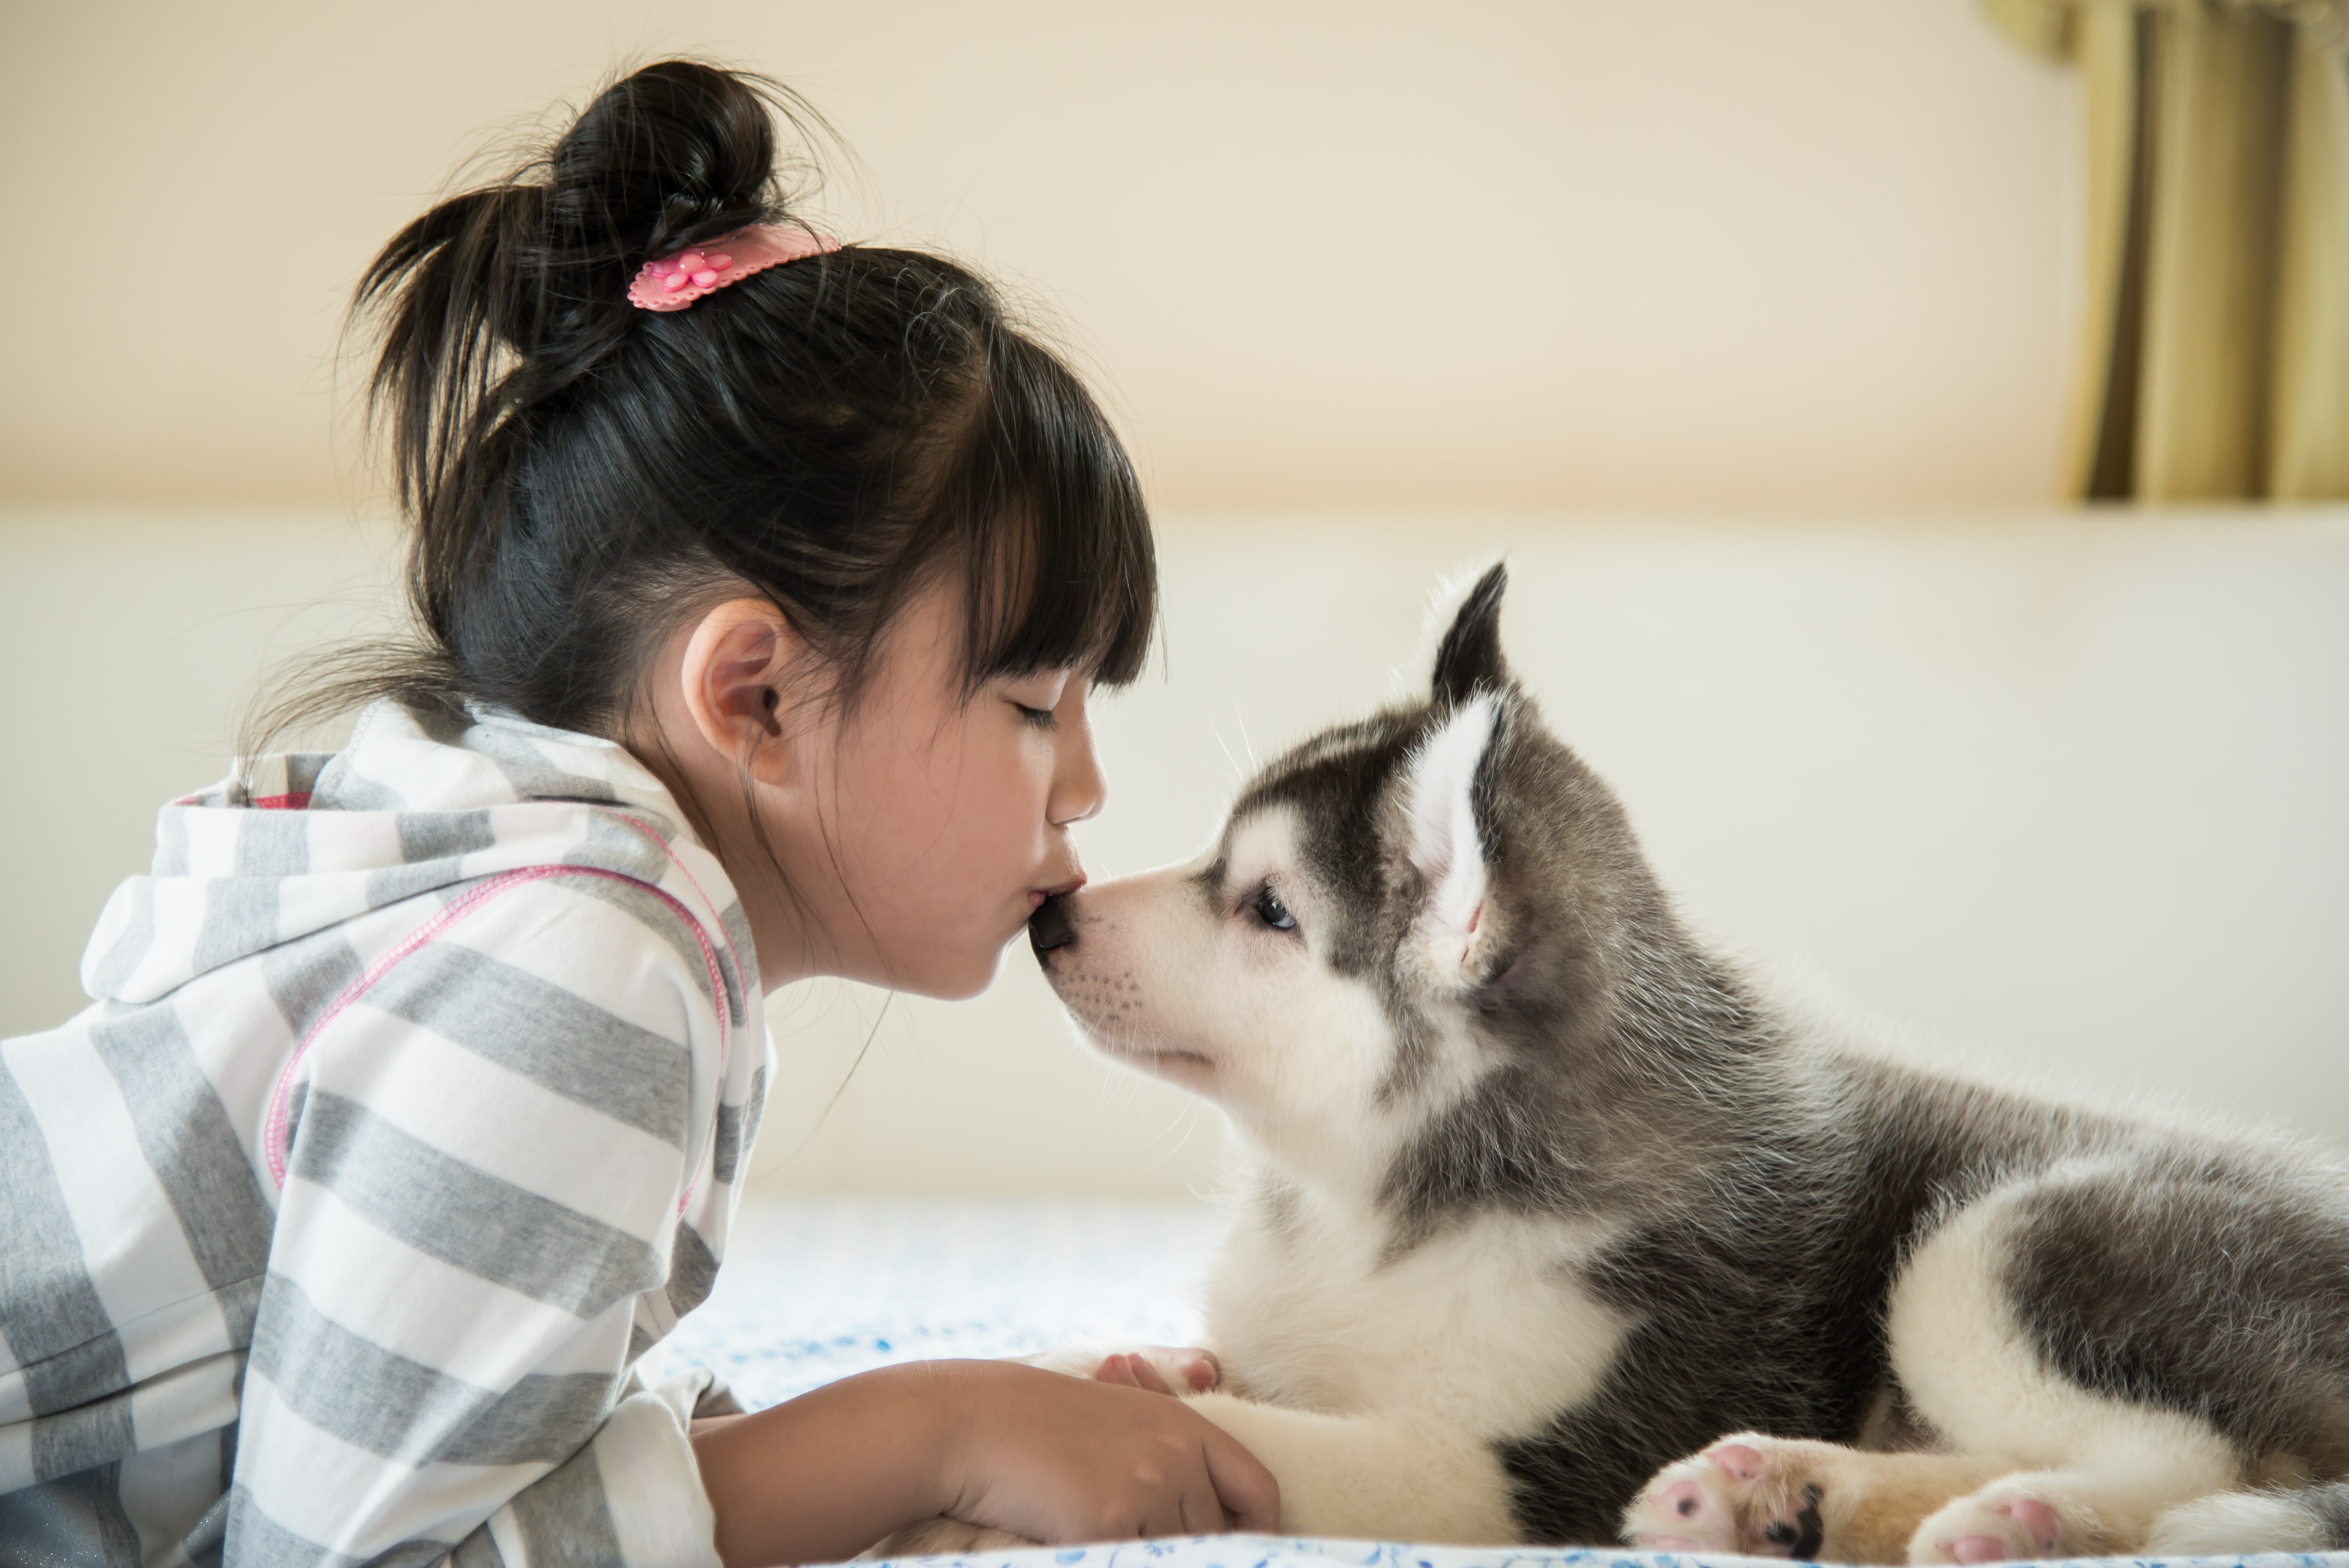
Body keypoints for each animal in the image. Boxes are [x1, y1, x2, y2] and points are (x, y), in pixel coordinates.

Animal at [1024, 570, 2349, 1558]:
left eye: (1269, 911)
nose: (1050, 919)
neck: (1367, 1202)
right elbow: (1179, 1368)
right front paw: (1116, 1364)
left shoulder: (1528, 1469)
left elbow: (1274, 1442)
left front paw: (1126, 1423)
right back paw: (1783, 1497)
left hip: (2001, 1243)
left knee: (2188, 1457)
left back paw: (2024, 1518)